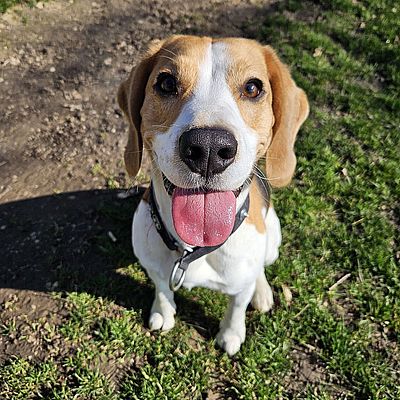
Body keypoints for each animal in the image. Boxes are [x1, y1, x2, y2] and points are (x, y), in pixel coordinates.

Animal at [118, 35, 309, 355]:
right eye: (166, 83)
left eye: (253, 88)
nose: (208, 148)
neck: (191, 249)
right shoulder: (154, 266)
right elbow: (162, 288)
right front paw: (163, 311)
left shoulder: (240, 285)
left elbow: (237, 305)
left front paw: (231, 334)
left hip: (273, 241)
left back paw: (262, 292)